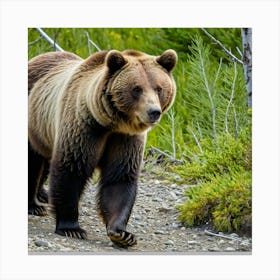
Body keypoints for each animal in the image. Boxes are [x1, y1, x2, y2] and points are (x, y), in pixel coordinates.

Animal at [28, 49, 177, 246]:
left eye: (159, 88)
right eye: (137, 88)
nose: (154, 112)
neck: (110, 124)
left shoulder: (125, 139)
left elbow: (119, 179)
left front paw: (122, 233)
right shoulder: (84, 127)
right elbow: (71, 169)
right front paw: (71, 228)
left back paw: (41, 197)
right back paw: (34, 206)